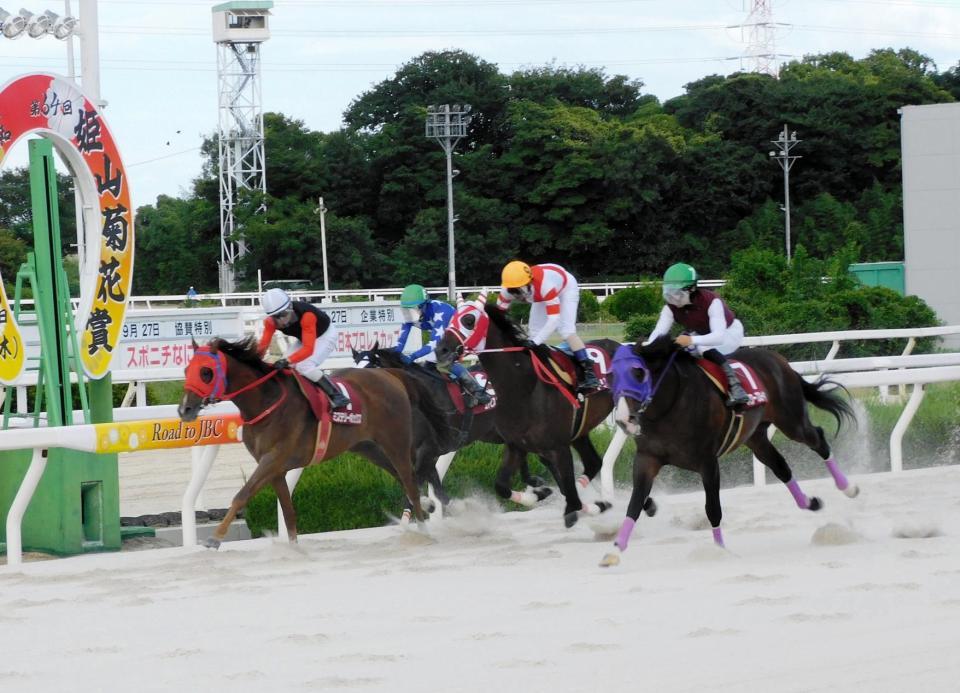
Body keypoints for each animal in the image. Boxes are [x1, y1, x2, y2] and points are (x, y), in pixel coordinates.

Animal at [178, 338, 426, 548]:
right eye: (187, 370)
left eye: (206, 372)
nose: (184, 409)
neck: (266, 404)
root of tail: (390, 375)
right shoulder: (274, 469)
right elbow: (288, 512)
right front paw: (294, 549)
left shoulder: (273, 458)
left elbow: (242, 495)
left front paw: (215, 538)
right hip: (369, 448)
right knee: (402, 478)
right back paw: (427, 506)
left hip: (396, 443)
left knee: (411, 482)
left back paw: (424, 529)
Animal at [434, 294, 652, 528]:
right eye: (451, 318)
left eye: (469, 320)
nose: (441, 350)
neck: (524, 388)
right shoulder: (516, 445)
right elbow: (501, 485)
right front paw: (536, 494)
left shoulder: (558, 446)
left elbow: (565, 487)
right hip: (580, 430)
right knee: (593, 462)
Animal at [604, 336, 860, 568]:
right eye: (612, 376)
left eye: (639, 373)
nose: (624, 419)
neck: (670, 405)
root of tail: (780, 360)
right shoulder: (647, 459)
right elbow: (634, 504)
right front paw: (614, 551)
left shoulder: (708, 462)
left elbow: (713, 509)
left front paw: (719, 551)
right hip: (757, 437)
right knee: (781, 466)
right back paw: (809, 502)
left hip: (792, 421)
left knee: (818, 439)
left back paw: (848, 488)